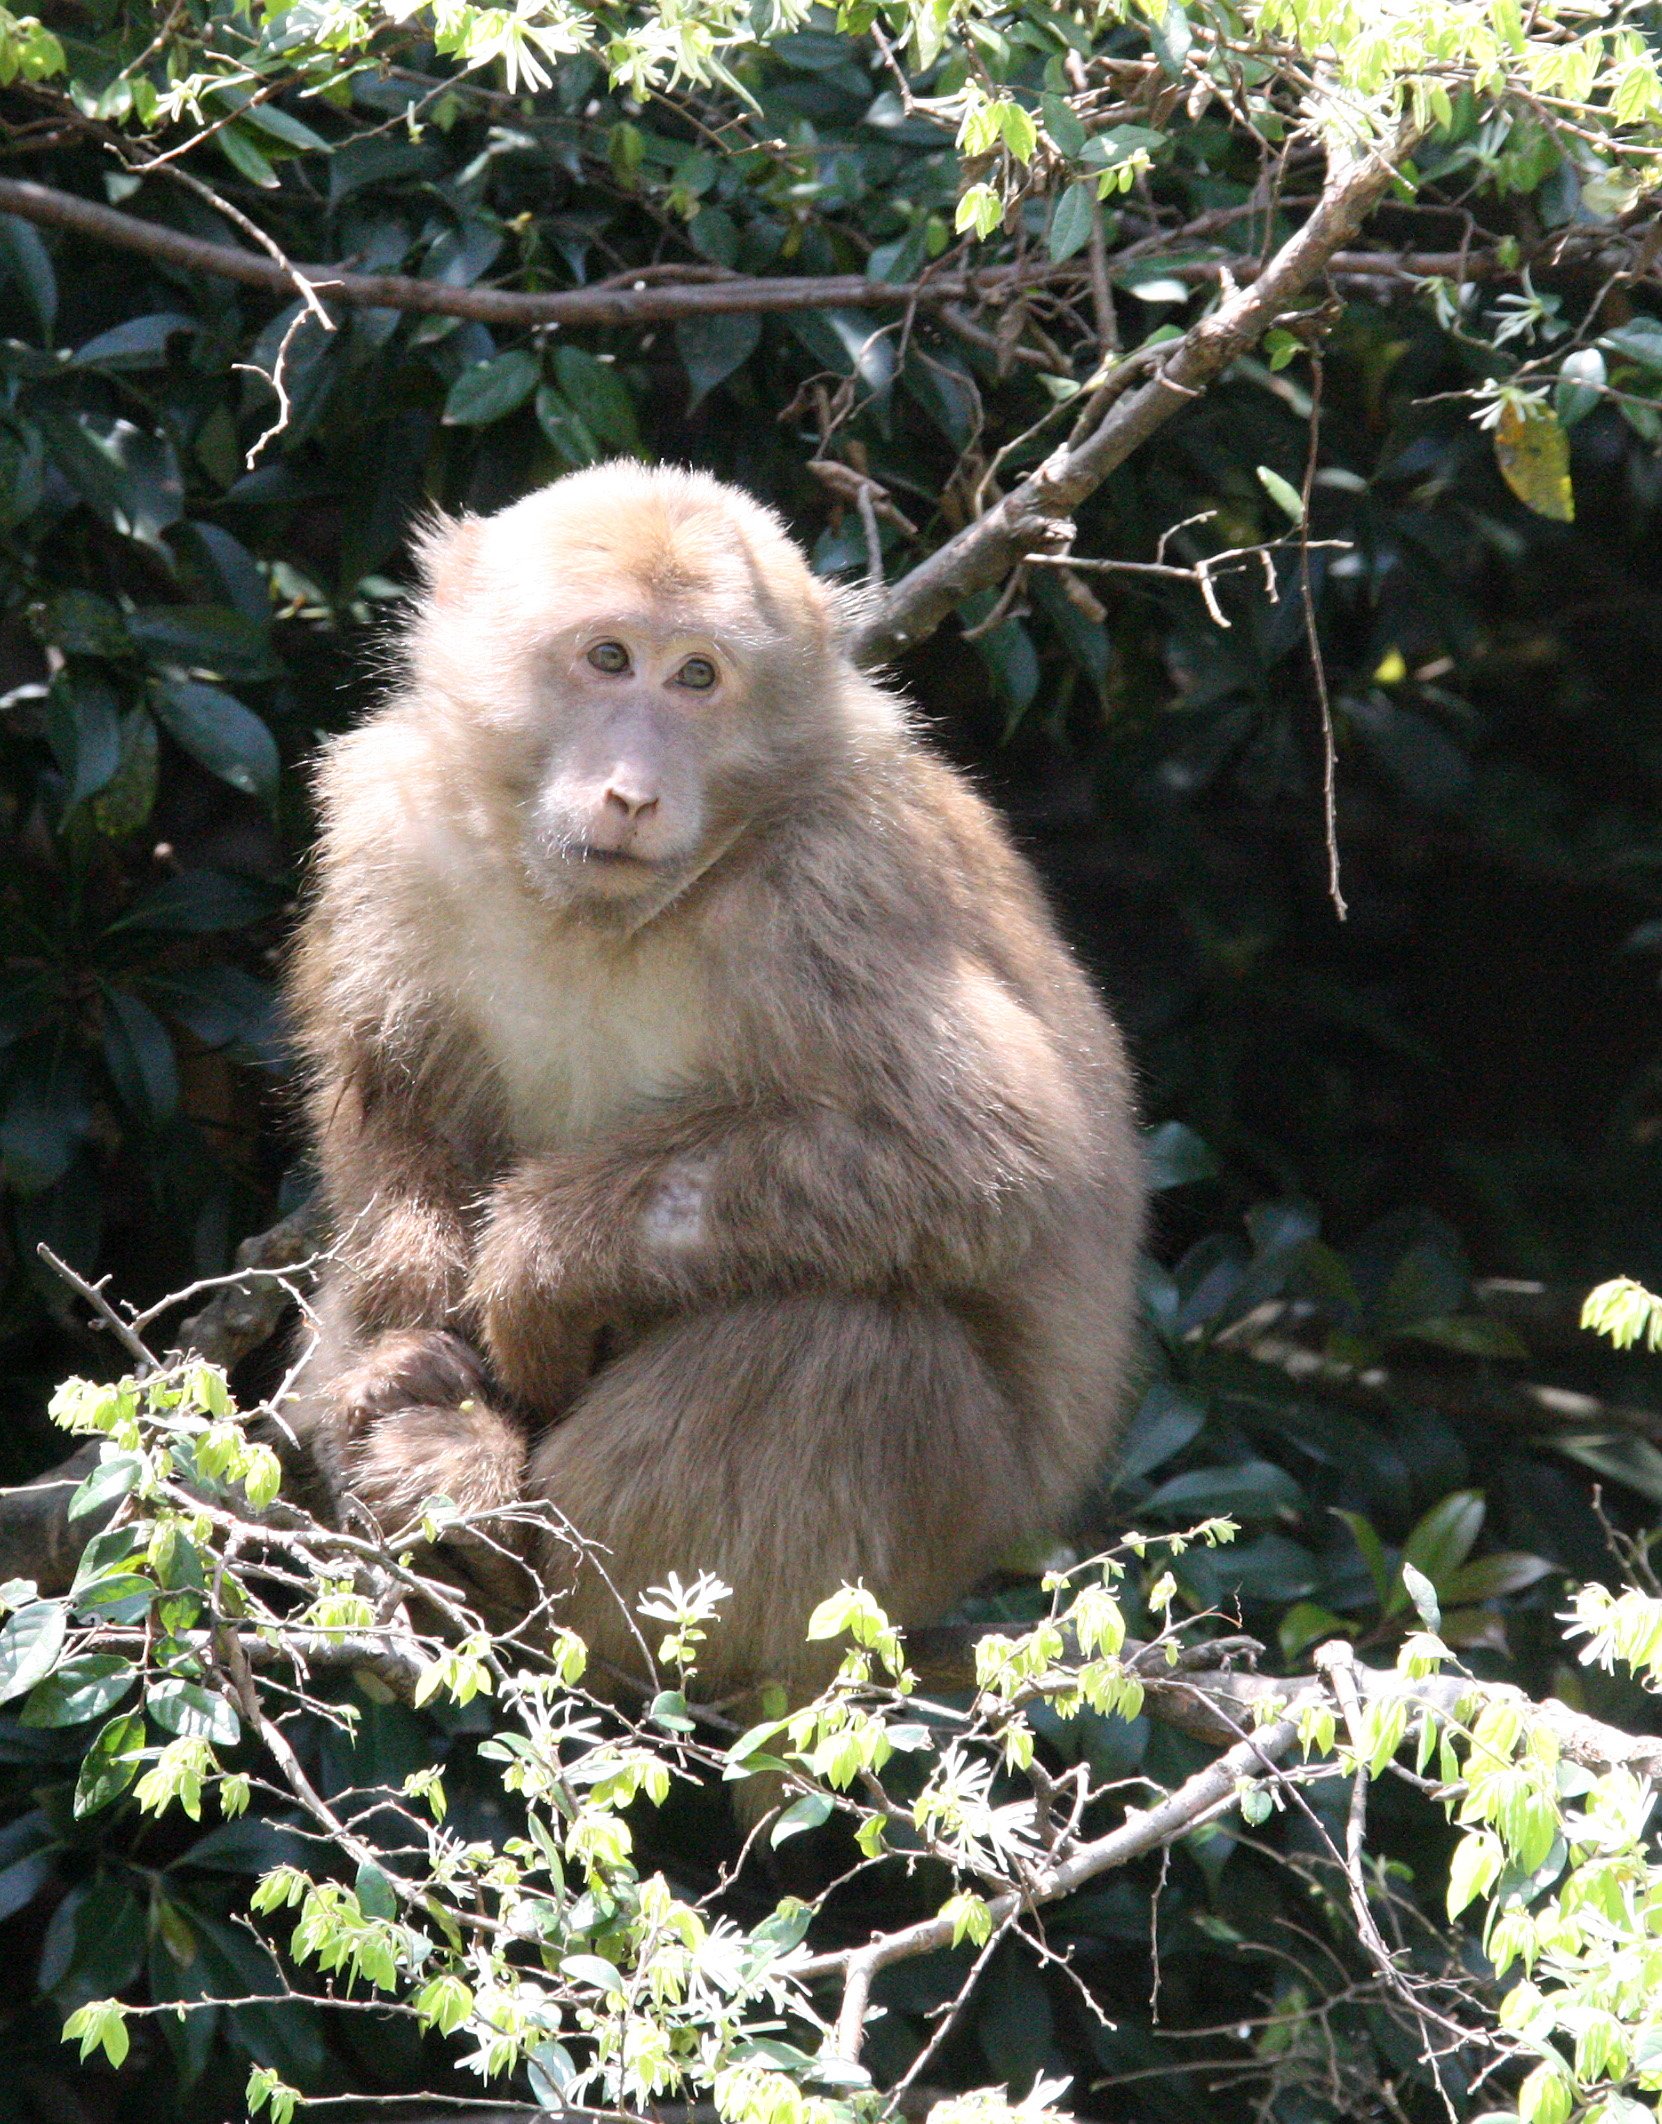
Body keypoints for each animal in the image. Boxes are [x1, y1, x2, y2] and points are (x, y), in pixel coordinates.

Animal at [285, 460, 1145, 1693]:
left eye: (698, 676)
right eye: (609, 658)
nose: (635, 791)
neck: (598, 915)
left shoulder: (835, 888)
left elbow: (993, 1157)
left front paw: (535, 1264)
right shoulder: (392, 827)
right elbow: (392, 1096)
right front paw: (406, 1343)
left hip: (941, 1526)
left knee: (835, 1347)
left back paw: (529, 1578)